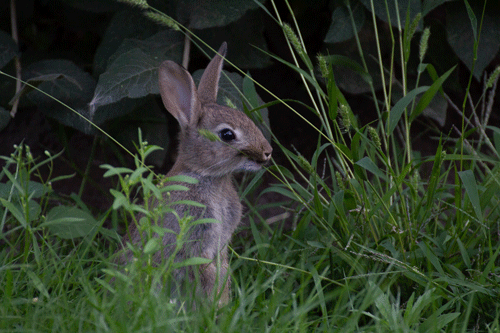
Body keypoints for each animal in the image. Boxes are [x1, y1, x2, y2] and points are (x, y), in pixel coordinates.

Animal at [125, 42, 274, 306]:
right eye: (227, 135)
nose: (267, 152)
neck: (207, 175)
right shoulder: (196, 237)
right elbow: (207, 273)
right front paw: (218, 306)